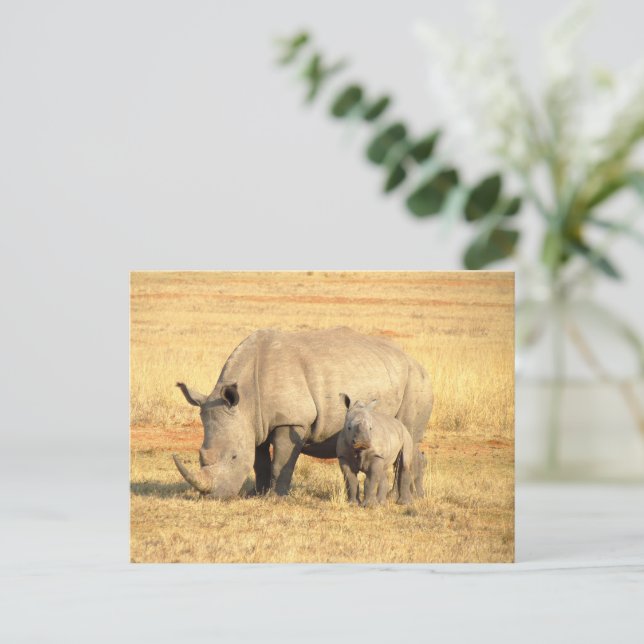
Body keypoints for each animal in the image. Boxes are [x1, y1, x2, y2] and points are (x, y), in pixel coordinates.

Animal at [173, 327, 433, 499]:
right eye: (201, 455)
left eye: (234, 457)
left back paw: (398, 498)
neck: (245, 398)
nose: (213, 497)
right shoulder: (255, 423)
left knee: (407, 437)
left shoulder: (291, 421)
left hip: (416, 381)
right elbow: (260, 461)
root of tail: (417, 362)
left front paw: (276, 498)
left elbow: (281, 462)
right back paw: (415, 497)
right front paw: (257, 494)